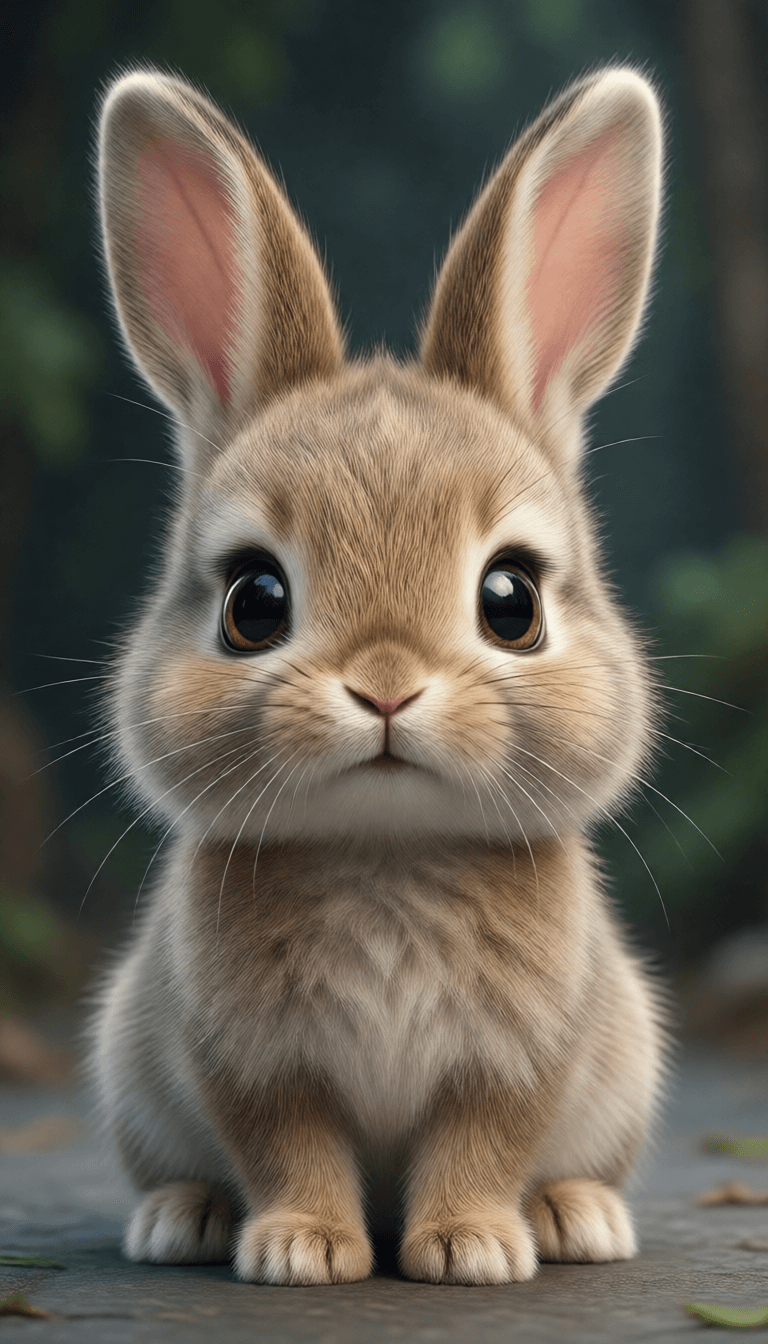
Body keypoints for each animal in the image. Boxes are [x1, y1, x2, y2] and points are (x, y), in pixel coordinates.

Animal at [91, 64, 667, 1286]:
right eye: (253, 602)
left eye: (512, 601)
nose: (388, 688)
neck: (385, 854)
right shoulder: (252, 1065)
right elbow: (290, 1146)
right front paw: (302, 1249)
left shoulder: (516, 1062)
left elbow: (480, 1141)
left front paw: (469, 1248)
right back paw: (181, 1221)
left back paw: (576, 1219)